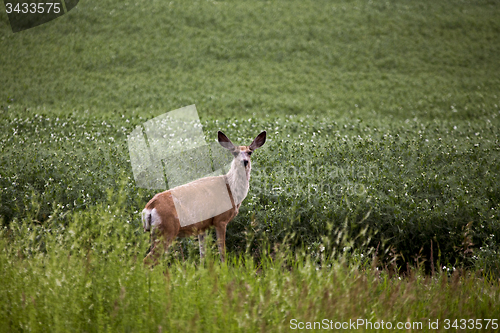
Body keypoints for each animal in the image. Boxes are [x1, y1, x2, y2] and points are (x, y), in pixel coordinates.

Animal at [142, 129, 266, 264]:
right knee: (147, 260)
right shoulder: (220, 220)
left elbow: (203, 255)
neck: (231, 190)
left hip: (155, 233)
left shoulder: (202, 226)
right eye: (234, 152)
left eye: (249, 152)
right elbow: (222, 251)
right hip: (167, 229)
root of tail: (149, 208)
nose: (244, 161)